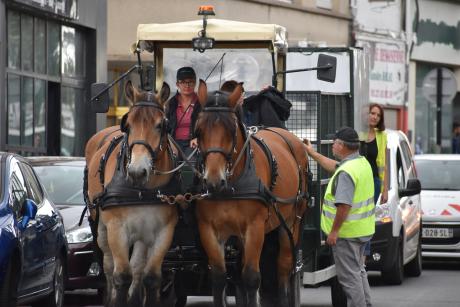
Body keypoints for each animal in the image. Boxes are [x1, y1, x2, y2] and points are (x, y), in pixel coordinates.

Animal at [84, 80, 180, 306]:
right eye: (127, 125)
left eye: (160, 125)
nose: (137, 171)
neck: (143, 190)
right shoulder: (117, 228)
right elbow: (121, 275)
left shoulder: (164, 230)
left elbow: (151, 276)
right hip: (101, 226)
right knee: (109, 265)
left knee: (137, 266)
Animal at [192, 81, 310, 307]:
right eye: (199, 131)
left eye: (231, 131)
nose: (213, 181)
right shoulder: (208, 229)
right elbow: (219, 277)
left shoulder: (255, 227)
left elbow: (252, 277)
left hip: (292, 221)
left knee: (283, 267)